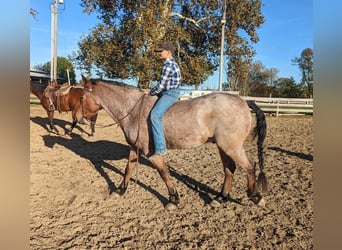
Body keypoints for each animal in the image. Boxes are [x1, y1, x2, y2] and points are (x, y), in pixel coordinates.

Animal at [81, 76, 268, 211]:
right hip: (223, 147)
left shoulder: (153, 154)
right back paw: (220, 198)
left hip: (231, 147)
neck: (134, 111)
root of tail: (244, 101)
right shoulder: (134, 149)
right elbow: (129, 169)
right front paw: (120, 191)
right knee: (230, 169)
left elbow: (164, 173)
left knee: (249, 166)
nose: (83, 119)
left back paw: (256, 197)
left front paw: (173, 199)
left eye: (82, 96)